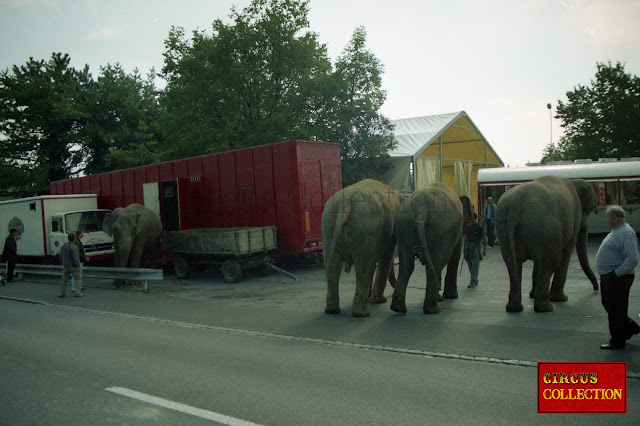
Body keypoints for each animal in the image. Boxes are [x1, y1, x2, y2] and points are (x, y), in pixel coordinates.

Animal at [322, 179, 402, 316]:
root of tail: (345, 204)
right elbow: (386, 256)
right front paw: (378, 301)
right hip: (365, 229)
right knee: (365, 266)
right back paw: (362, 313)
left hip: (328, 226)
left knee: (332, 266)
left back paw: (332, 310)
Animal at [388, 181, 472, 314]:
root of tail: (420, 205)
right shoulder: (457, 231)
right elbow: (455, 256)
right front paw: (451, 297)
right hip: (441, 229)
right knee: (436, 263)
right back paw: (434, 308)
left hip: (403, 224)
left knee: (407, 266)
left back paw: (399, 309)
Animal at [496, 176, 600, 312]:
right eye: (593, 206)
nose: (596, 289)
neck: (573, 181)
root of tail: (516, 203)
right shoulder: (575, 216)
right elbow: (566, 252)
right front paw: (562, 299)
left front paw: (532, 295)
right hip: (545, 227)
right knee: (550, 262)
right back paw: (546, 308)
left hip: (507, 227)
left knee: (512, 263)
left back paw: (514, 308)